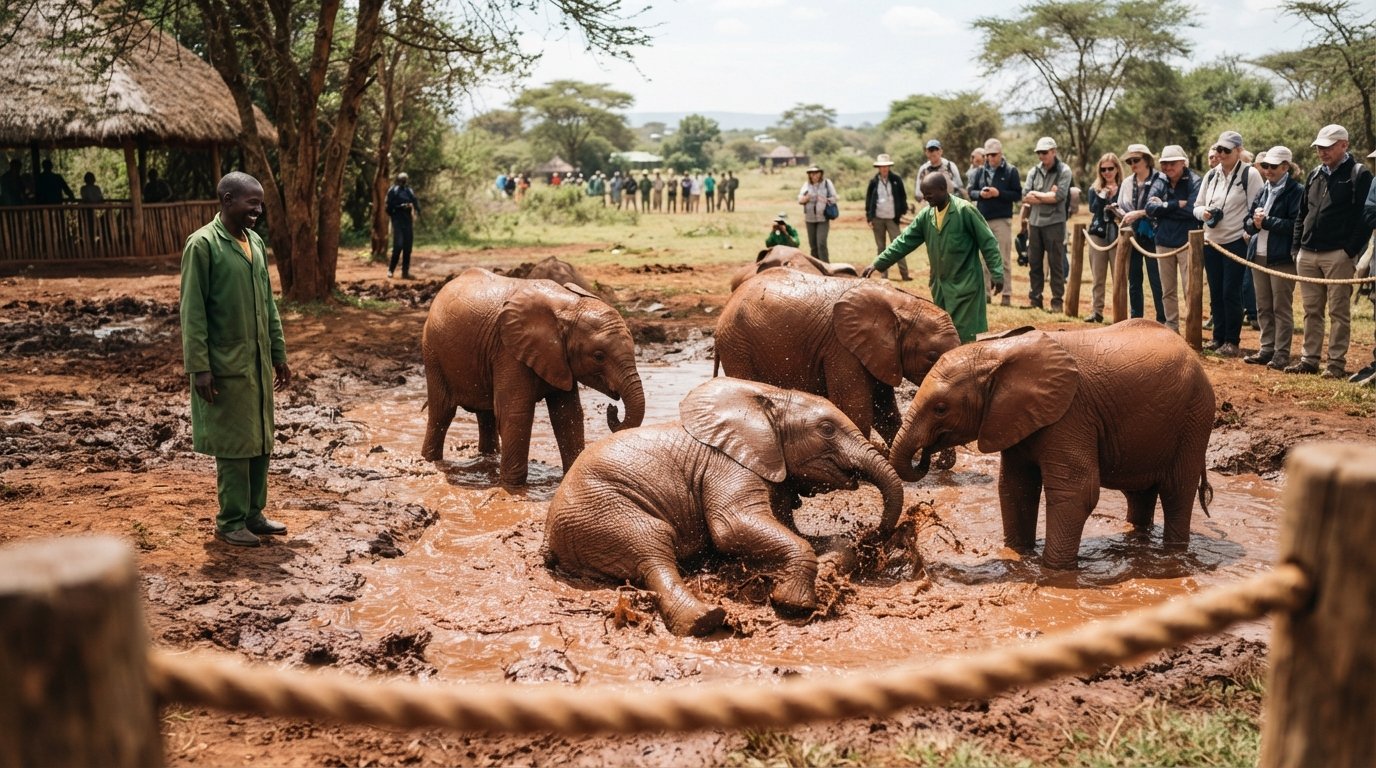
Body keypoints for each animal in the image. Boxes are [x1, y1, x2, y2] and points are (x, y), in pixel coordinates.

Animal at [421, 267, 645, 485]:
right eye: (599, 356)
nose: (612, 409)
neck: (568, 306)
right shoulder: (509, 351)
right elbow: (516, 412)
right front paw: (513, 487)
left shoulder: (558, 360)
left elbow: (568, 414)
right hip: (432, 352)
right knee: (442, 412)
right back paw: (429, 461)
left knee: (485, 415)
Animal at [542, 377, 904, 636]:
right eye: (827, 430)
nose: (876, 534)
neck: (767, 399)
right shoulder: (728, 466)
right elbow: (731, 527)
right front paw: (793, 603)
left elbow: (792, 531)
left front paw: (831, 563)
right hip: (603, 509)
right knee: (652, 545)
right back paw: (704, 619)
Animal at [714, 268, 961, 446]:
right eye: (931, 356)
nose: (943, 465)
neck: (902, 302)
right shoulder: (842, 348)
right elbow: (855, 407)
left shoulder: (879, 353)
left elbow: (885, 409)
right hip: (736, 344)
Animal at [888, 319, 1215, 570]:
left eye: (941, 409)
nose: (927, 457)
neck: (997, 354)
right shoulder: (1015, 417)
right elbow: (1015, 486)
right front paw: (1018, 554)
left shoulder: (1070, 414)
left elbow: (1077, 490)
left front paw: (1055, 571)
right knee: (1139, 494)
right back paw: (1137, 541)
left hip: (1195, 419)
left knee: (1176, 491)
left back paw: (1173, 553)